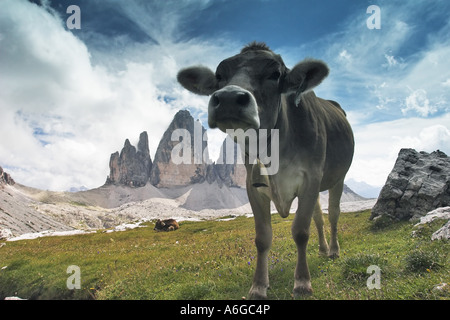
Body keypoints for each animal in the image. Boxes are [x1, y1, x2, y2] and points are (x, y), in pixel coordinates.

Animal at [178, 41, 354, 298]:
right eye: (220, 76)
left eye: (275, 74)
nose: (229, 98)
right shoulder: (254, 187)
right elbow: (262, 238)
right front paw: (259, 285)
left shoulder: (310, 178)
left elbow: (300, 231)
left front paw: (302, 282)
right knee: (319, 217)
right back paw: (322, 249)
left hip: (337, 177)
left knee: (333, 213)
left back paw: (333, 250)